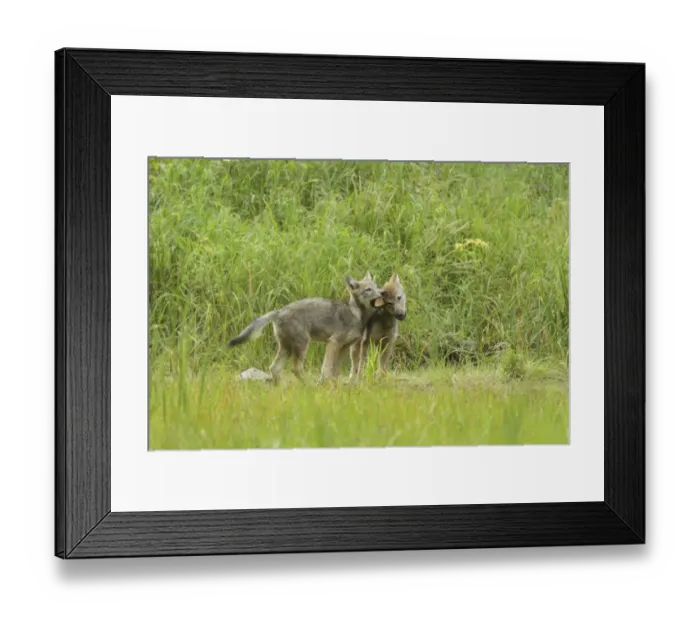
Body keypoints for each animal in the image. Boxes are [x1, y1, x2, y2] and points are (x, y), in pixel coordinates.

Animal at [227, 273, 384, 383]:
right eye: (368, 290)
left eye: (376, 286)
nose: (382, 292)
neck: (356, 315)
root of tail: (279, 311)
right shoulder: (333, 342)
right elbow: (326, 368)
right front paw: (325, 384)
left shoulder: (344, 347)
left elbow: (336, 371)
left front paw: (333, 384)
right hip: (303, 345)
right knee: (295, 369)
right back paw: (309, 386)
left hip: (287, 348)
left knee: (274, 368)